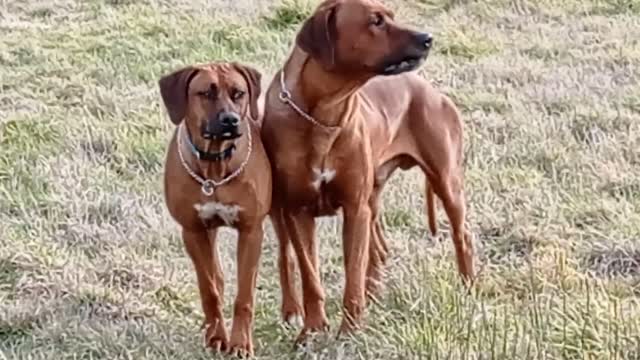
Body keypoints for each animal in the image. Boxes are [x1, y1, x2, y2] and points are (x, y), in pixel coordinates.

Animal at [161, 62, 272, 358]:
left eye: (239, 93)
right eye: (206, 93)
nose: (231, 120)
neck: (214, 166)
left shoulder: (251, 232)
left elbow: (244, 296)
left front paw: (240, 343)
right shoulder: (193, 230)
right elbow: (209, 289)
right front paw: (216, 336)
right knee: (216, 278)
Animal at [260, 0, 476, 342]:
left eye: (391, 15)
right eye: (376, 21)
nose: (427, 38)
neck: (324, 113)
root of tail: (430, 90)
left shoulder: (354, 208)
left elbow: (353, 274)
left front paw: (350, 329)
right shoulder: (298, 211)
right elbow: (310, 275)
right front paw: (312, 330)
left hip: (446, 180)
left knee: (462, 234)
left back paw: (468, 289)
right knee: (370, 250)